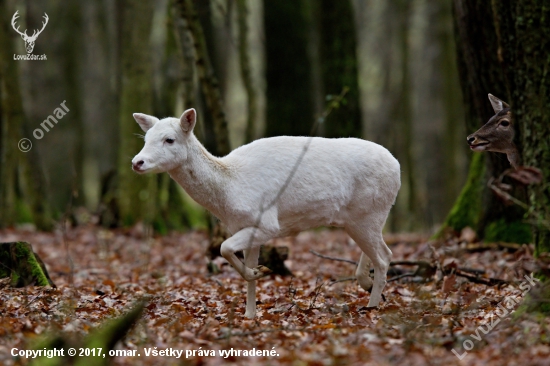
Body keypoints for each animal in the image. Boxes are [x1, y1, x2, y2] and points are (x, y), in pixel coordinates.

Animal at [132, 108, 404, 318]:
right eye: (145, 138)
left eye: (169, 139)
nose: (137, 162)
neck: (229, 188)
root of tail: (398, 167)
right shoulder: (245, 227)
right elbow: (242, 264)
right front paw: (250, 311)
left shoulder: (267, 223)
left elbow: (223, 247)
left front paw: (258, 274)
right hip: (361, 219)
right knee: (381, 251)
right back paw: (366, 284)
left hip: (369, 213)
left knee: (384, 256)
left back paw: (372, 307)